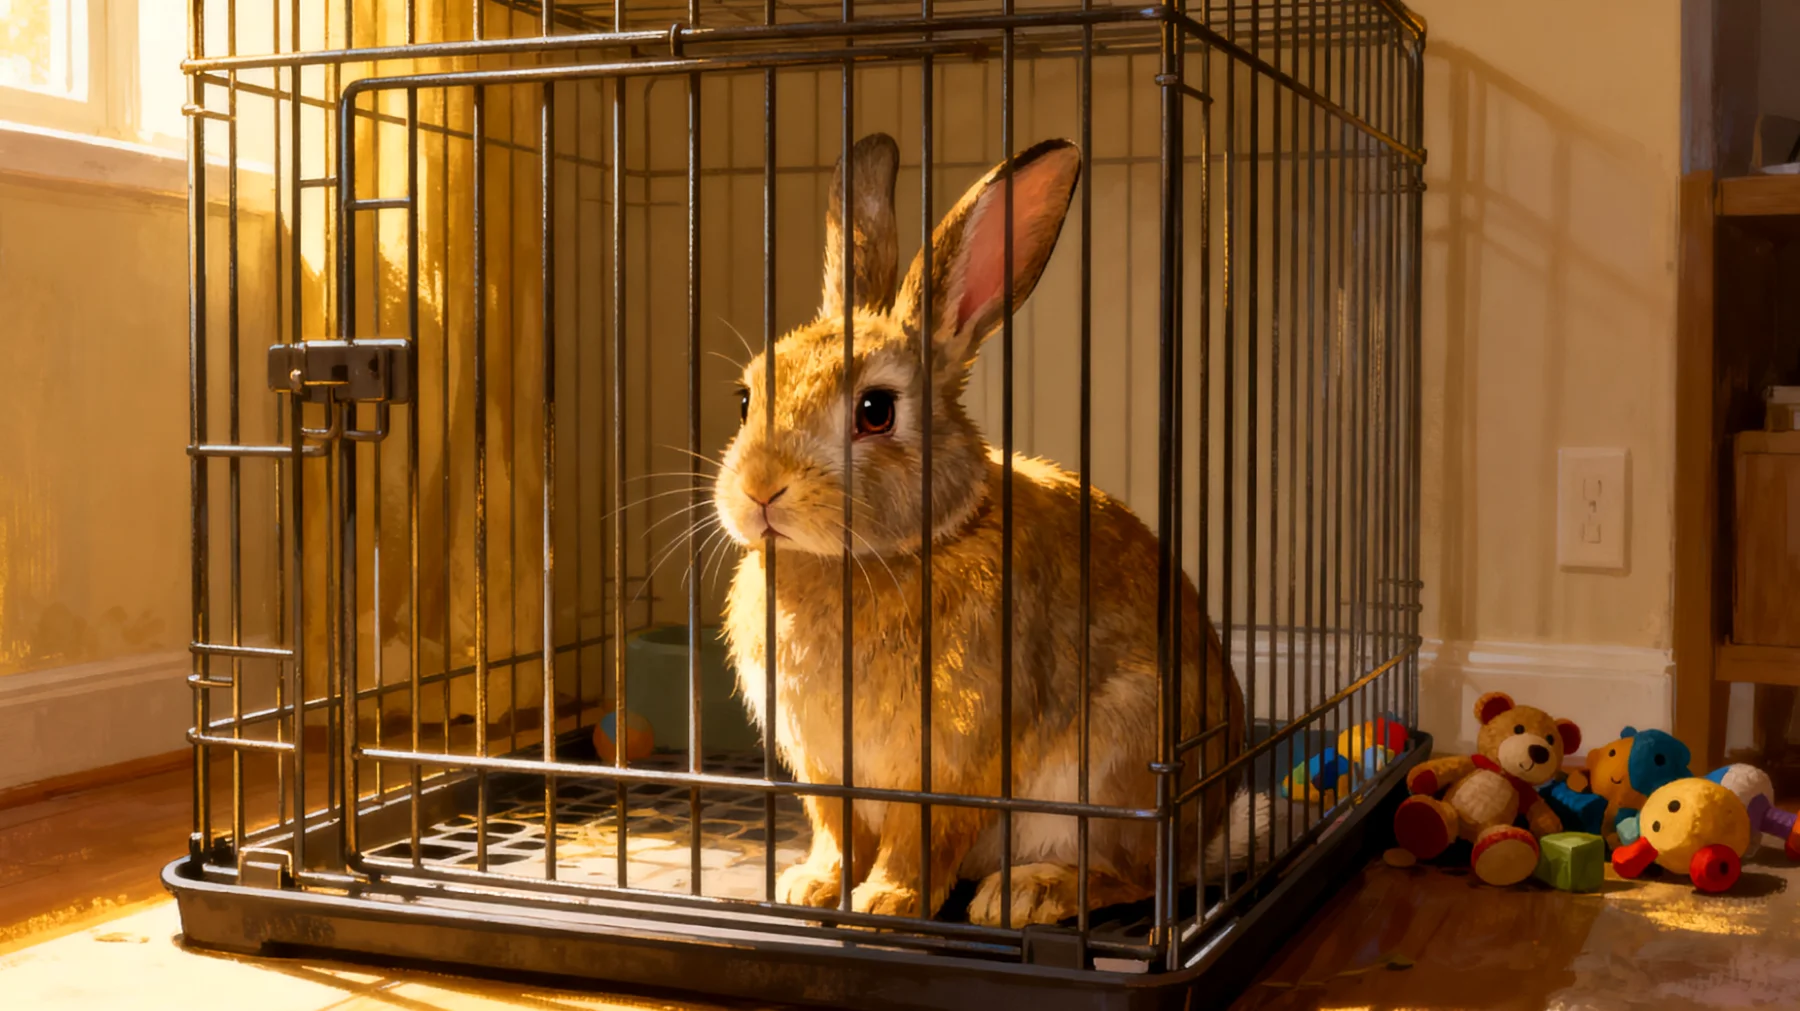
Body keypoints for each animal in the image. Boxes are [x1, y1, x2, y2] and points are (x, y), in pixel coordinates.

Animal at [714, 132, 1253, 928]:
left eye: (875, 410)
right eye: (747, 397)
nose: (759, 489)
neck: (886, 554)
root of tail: (1206, 819)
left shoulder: (949, 760)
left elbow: (919, 839)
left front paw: (887, 901)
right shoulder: (825, 768)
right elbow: (839, 836)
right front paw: (811, 887)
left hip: (1115, 765)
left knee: (1135, 875)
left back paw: (1024, 894)